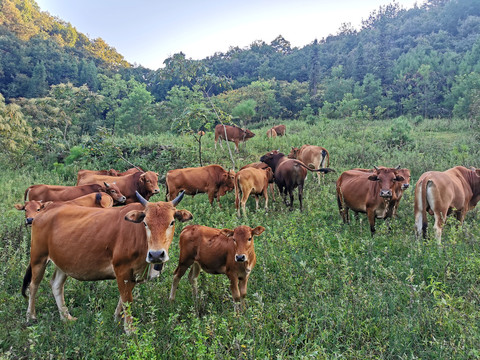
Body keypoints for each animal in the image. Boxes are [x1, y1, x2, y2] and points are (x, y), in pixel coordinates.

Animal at [22, 190, 191, 334]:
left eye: (171, 222)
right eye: (145, 223)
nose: (156, 254)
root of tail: (46, 209)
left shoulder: (134, 273)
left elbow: (123, 298)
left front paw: (117, 319)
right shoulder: (121, 268)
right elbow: (127, 299)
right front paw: (130, 329)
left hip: (63, 261)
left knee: (56, 284)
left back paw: (66, 317)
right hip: (38, 257)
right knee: (33, 285)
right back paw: (31, 315)